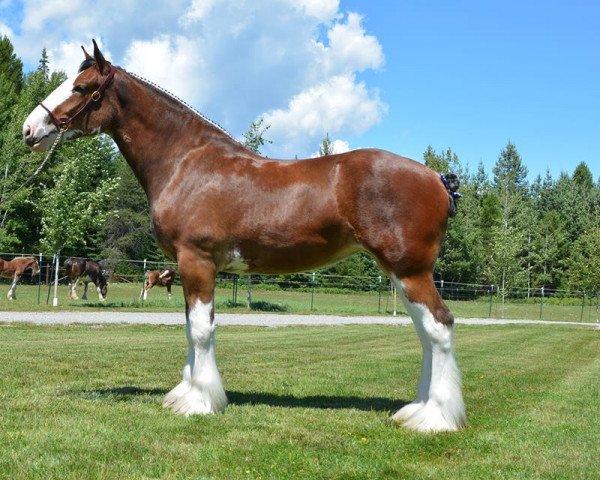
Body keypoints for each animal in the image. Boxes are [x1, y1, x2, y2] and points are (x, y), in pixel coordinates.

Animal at [21, 41, 466, 432]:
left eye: (81, 88)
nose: (29, 129)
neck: (185, 162)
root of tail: (437, 178)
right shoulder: (190, 268)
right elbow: (189, 326)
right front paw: (184, 394)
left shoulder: (197, 261)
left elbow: (201, 330)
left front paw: (199, 403)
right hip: (401, 273)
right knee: (426, 332)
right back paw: (417, 409)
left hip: (409, 270)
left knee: (439, 327)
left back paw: (435, 418)